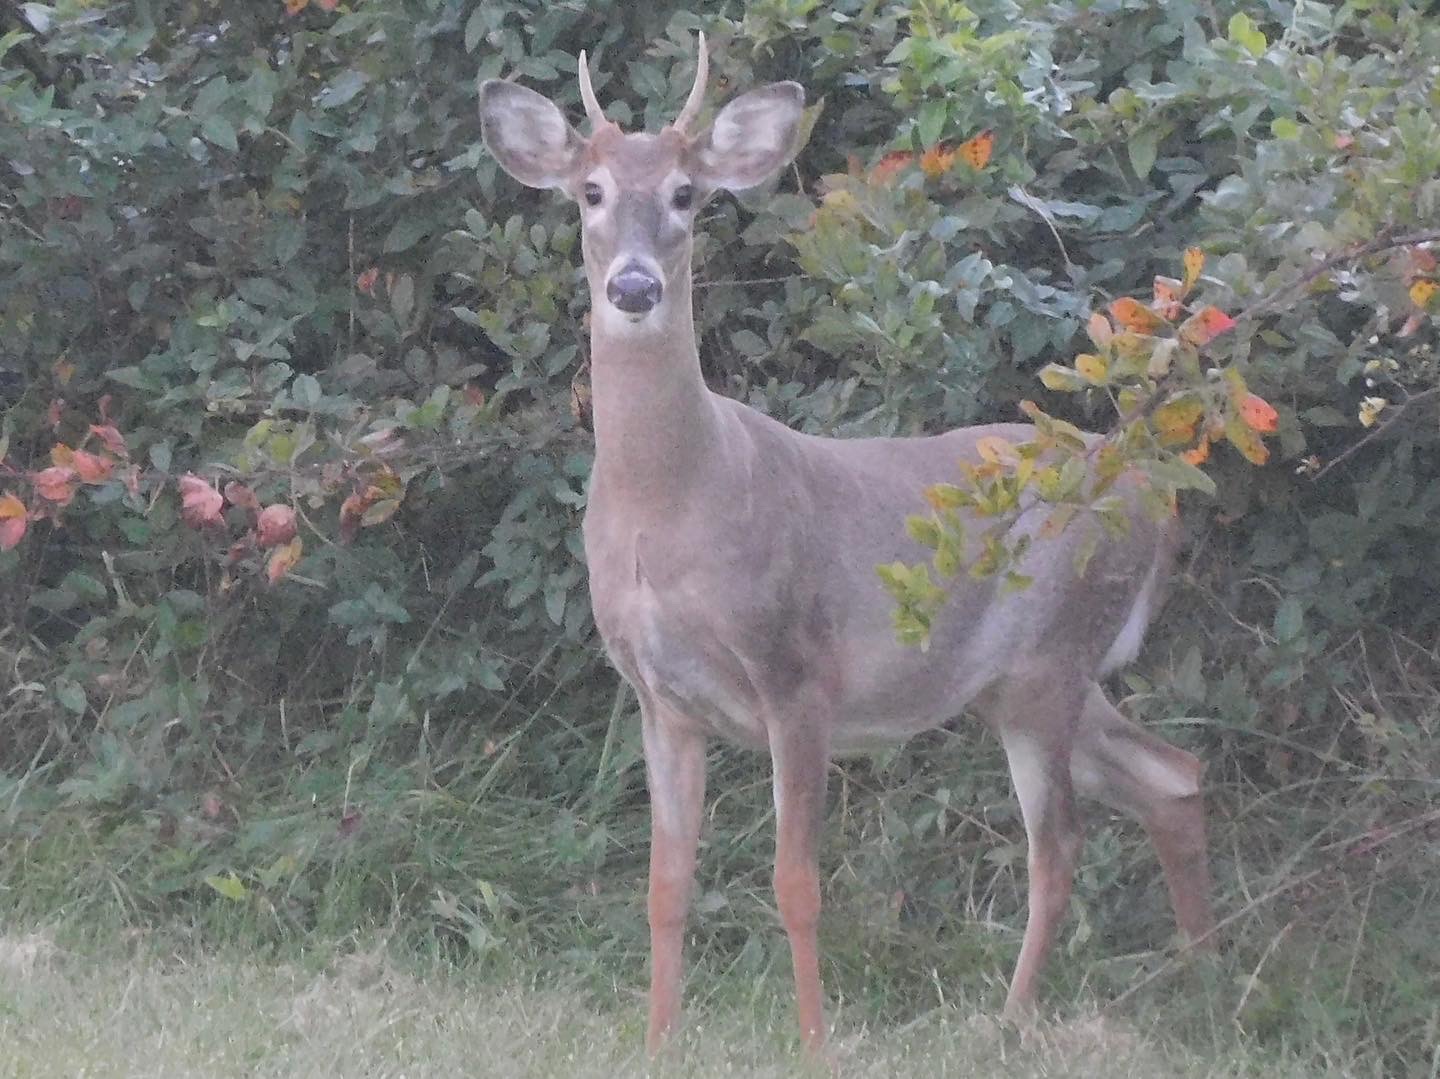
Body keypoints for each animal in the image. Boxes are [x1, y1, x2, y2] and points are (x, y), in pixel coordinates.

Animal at [478, 34, 1215, 1056]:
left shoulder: (798, 672)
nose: (633, 285)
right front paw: (660, 1038)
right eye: (590, 190)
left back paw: (1012, 1017)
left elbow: (797, 883)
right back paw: (1205, 980)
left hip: (1053, 648)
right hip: (1023, 677)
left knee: (1060, 842)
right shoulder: (661, 700)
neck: (671, 506)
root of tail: (1154, 494)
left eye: (687, 194)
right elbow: (665, 885)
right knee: (1172, 775)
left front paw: (815, 1039)